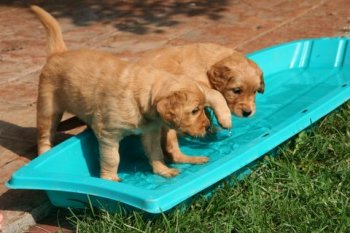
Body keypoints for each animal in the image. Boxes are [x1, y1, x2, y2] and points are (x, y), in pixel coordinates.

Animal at [30, 5, 232, 180]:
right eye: (194, 111)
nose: (207, 127)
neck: (140, 98)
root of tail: (58, 53)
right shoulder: (108, 134)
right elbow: (113, 158)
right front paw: (109, 179)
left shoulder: (150, 131)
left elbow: (156, 152)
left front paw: (163, 170)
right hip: (48, 107)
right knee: (44, 136)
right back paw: (44, 153)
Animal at [135, 43, 264, 164]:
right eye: (236, 90)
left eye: (254, 91)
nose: (248, 112)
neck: (207, 65)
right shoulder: (194, 87)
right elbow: (217, 95)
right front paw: (225, 119)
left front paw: (211, 128)